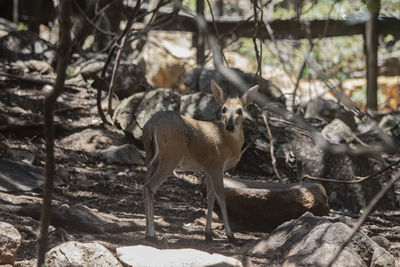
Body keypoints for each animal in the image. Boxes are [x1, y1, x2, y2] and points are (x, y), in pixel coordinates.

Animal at [142, 79, 258, 243]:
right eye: (224, 109)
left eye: (240, 110)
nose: (230, 126)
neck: (228, 143)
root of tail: (152, 125)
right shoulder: (216, 165)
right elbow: (221, 197)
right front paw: (230, 235)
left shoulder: (207, 169)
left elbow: (210, 198)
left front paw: (208, 233)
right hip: (171, 156)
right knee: (150, 186)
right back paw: (151, 234)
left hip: (151, 157)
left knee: (145, 185)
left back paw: (147, 232)